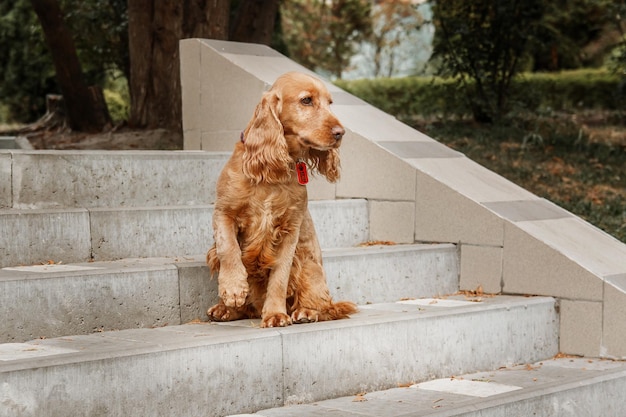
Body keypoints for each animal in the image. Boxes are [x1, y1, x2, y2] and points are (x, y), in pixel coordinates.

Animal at [206, 71, 356, 326]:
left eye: (330, 103)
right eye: (306, 100)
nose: (340, 133)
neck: (272, 172)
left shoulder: (290, 229)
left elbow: (280, 275)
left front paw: (276, 314)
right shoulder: (224, 212)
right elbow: (229, 248)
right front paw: (233, 288)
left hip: (310, 266)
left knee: (324, 306)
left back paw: (305, 312)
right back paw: (226, 309)